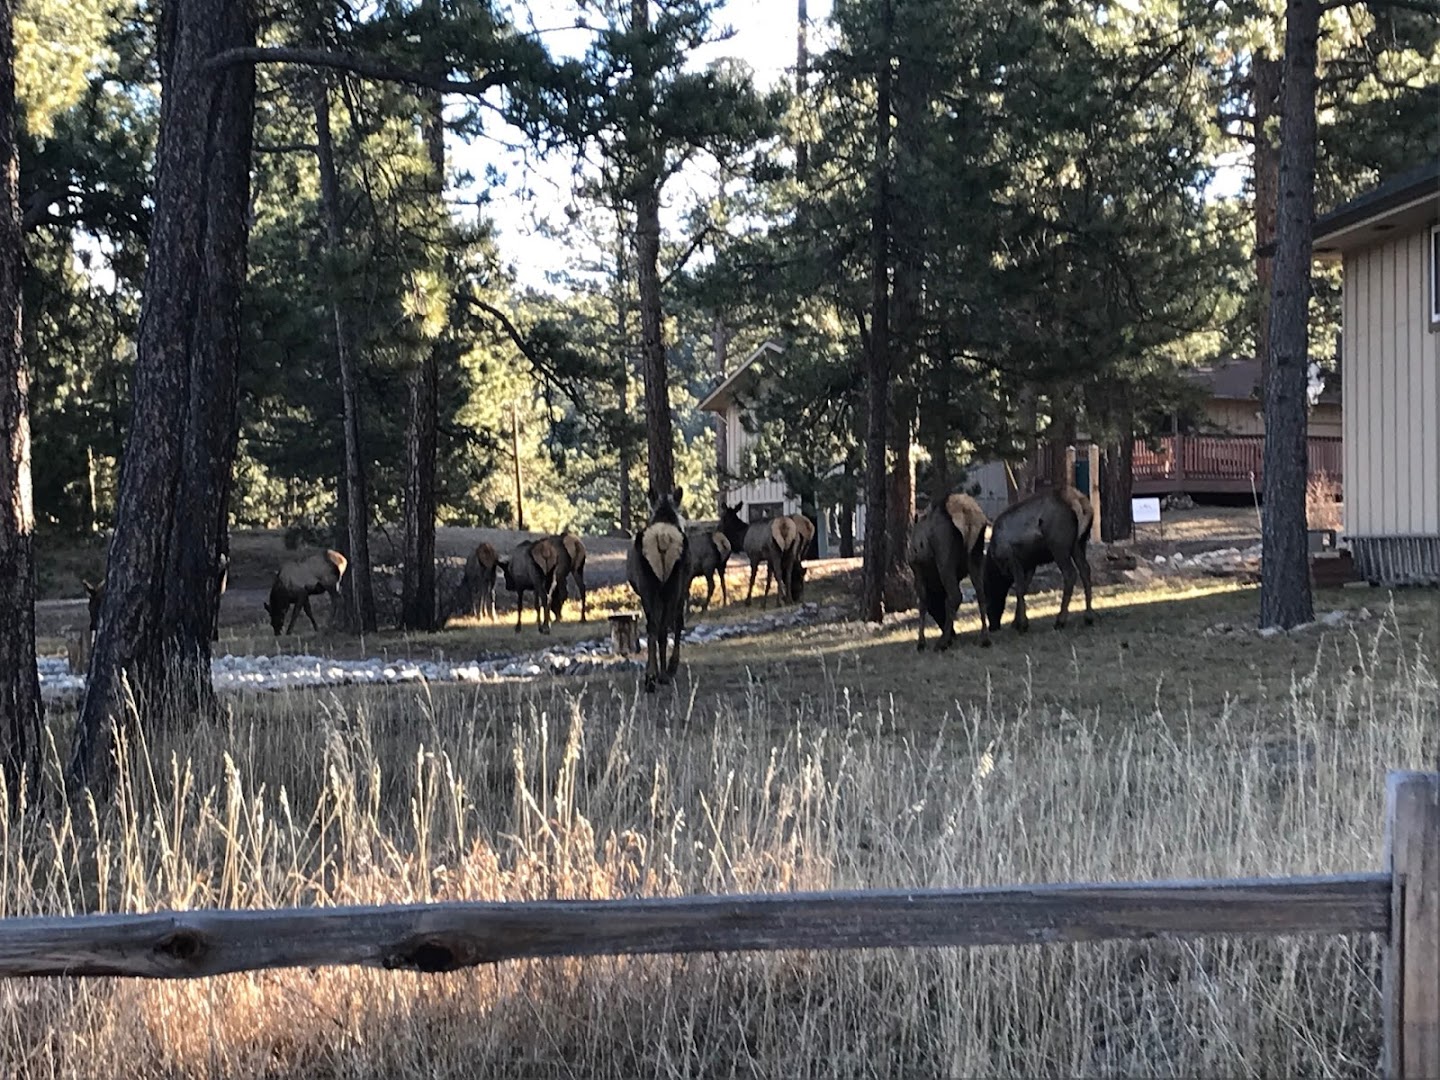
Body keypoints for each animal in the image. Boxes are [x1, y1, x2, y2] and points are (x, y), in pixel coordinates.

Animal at [627, 489, 694, 694]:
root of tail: (662, 538)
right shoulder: (683, 589)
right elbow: (678, 624)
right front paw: (672, 667)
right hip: (672, 587)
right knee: (664, 627)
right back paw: (663, 674)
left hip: (648, 587)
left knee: (653, 627)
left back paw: (650, 677)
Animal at [910, 498, 990, 656]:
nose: (954, 635)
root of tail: (968, 517)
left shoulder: (917, 569)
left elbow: (922, 603)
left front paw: (921, 643)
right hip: (976, 555)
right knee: (981, 594)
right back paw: (984, 639)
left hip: (944, 556)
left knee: (956, 596)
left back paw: (941, 643)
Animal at [984, 483, 1094, 633]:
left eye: (988, 600)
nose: (992, 626)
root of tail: (1078, 502)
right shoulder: (1030, 564)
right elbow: (1023, 589)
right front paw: (1016, 622)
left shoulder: (1013, 560)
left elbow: (1019, 589)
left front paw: (1022, 624)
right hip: (1079, 544)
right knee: (1085, 570)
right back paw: (1088, 617)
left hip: (1059, 545)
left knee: (1070, 574)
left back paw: (1060, 620)